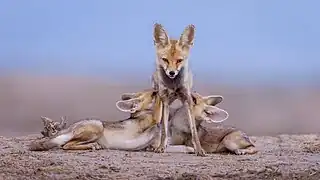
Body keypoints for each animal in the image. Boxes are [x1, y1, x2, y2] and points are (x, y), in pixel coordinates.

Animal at [28, 89, 162, 151]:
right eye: (153, 94)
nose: (159, 90)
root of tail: (71, 127)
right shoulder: (151, 122)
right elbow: (159, 118)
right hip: (98, 127)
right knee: (66, 145)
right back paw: (92, 145)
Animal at [151, 23, 204, 156]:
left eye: (179, 60)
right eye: (165, 60)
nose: (171, 73)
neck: (174, 85)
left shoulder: (187, 99)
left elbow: (194, 131)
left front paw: (199, 149)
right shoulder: (165, 101)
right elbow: (164, 130)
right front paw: (161, 147)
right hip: (160, 101)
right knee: (160, 126)